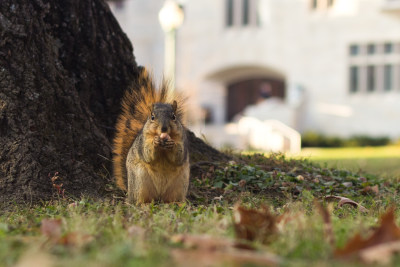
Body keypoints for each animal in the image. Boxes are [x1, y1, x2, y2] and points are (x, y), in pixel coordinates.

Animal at [111, 68, 189, 204]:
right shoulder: (143, 141)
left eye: (173, 117)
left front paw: (172, 144)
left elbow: (179, 156)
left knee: (172, 199)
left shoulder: (182, 140)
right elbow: (147, 154)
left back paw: (178, 204)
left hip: (180, 184)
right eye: (152, 117)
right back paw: (144, 205)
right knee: (139, 200)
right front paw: (155, 142)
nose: (164, 128)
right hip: (140, 181)